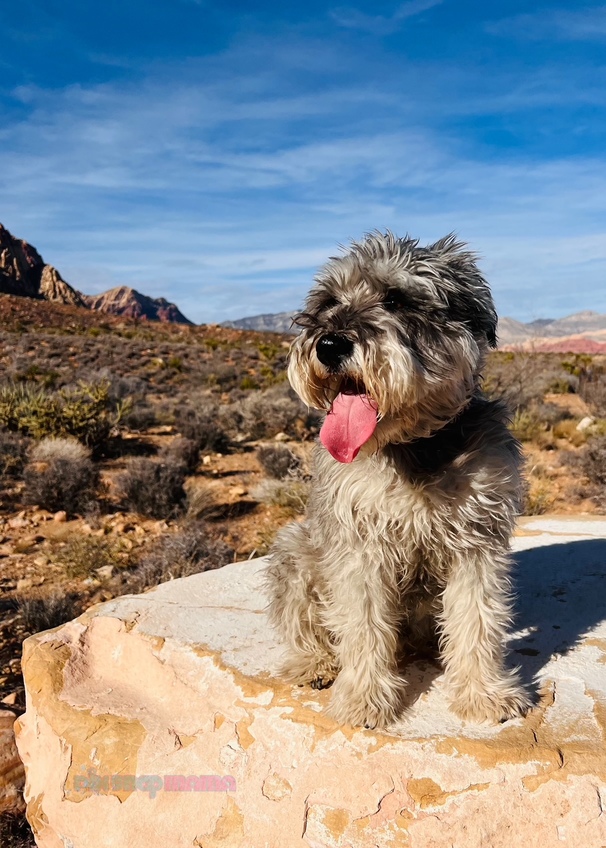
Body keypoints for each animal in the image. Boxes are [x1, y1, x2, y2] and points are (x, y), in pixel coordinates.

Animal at [266, 232, 532, 728]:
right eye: (328, 302)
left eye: (396, 299)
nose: (328, 344)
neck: (416, 446)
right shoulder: (360, 545)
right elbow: (363, 624)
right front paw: (364, 698)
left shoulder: (477, 542)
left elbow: (477, 619)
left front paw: (484, 693)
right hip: (295, 547)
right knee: (303, 623)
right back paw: (315, 663)